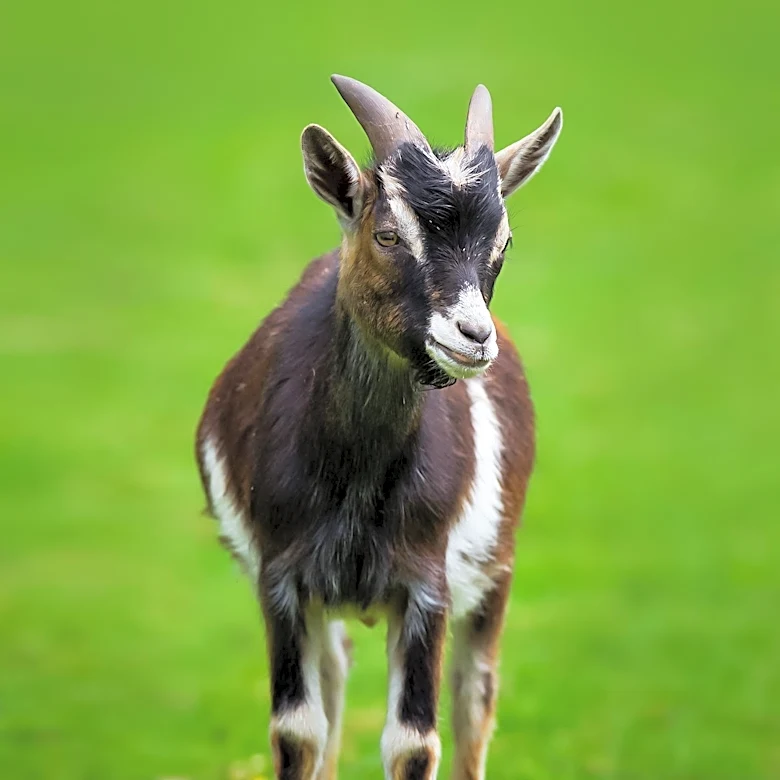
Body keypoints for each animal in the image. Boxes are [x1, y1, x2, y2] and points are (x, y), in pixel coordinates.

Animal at [196, 75, 562, 780]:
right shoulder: (281, 580)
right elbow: (297, 732)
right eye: (390, 235)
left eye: (502, 244)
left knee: (474, 700)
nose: (472, 337)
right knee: (336, 681)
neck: (353, 478)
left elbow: (414, 742)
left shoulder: (426, 585)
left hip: (493, 577)